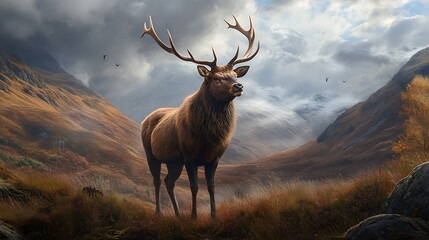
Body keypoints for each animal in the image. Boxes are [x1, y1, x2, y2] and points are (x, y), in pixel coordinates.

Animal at [142, 14, 260, 218]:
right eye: (216, 78)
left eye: (235, 75)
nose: (239, 86)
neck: (209, 138)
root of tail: (145, 119)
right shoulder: (189, 156)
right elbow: (194, 187)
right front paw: (194, 216)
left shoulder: (214, 158)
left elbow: (211, 187)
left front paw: (214, 216)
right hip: (152, 154)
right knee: (157, 181)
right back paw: (159, 213)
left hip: (174, 161)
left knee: (168, 181)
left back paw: (178, 215)